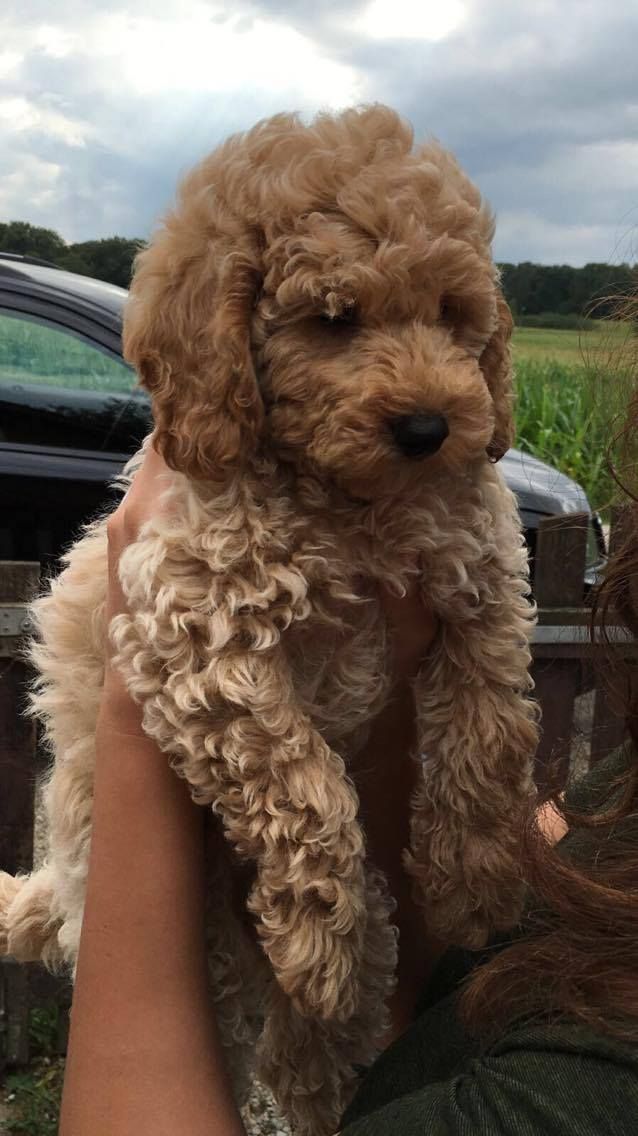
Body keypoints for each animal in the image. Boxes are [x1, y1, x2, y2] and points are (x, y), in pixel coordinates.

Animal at [0, 106, 535, 1136]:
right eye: (333, 320)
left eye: (454, 316)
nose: (430, 428)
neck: (352, 501)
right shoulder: (189, 629)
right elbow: (298, 775)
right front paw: (320, 936)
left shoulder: (484, 564)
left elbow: (491, 726)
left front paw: (477, 876)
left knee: (316, 1065)